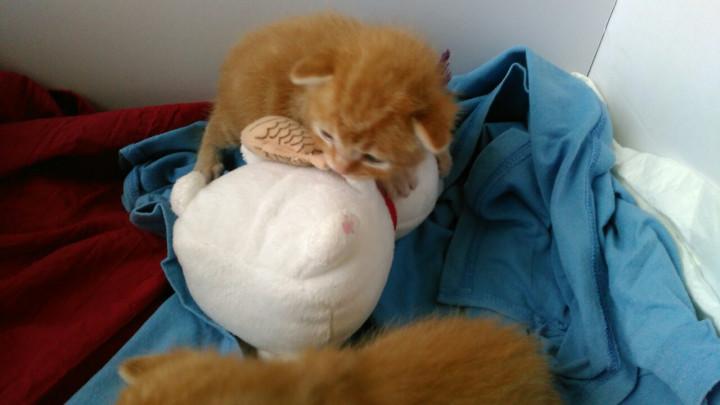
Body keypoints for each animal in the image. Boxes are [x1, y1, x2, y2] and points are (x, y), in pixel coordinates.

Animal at [195, 12, 458, 198]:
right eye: (327, 136)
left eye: (371, 158)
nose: (339, 169)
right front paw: (395, 179)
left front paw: (442, 155)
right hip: (236, 117)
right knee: (213, 126)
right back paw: (205, 164)